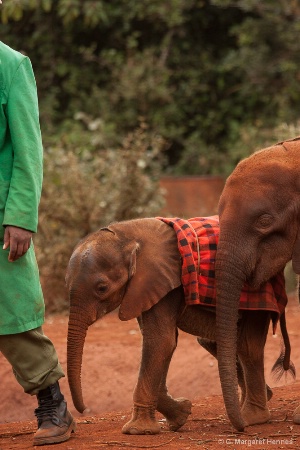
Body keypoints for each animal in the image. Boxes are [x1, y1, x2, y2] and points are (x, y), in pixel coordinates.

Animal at [65, 216, 292, 434]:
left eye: (102, 288)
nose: (83, 409)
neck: (127, 236)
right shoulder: (145, 288)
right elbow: (164, 341)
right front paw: (181, 415)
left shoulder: (163, 281)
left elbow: (160, 341)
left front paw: (137, 431)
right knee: (215, 341)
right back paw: (259, 400)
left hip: (260, 291)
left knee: (247, 345)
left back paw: (252, 416)